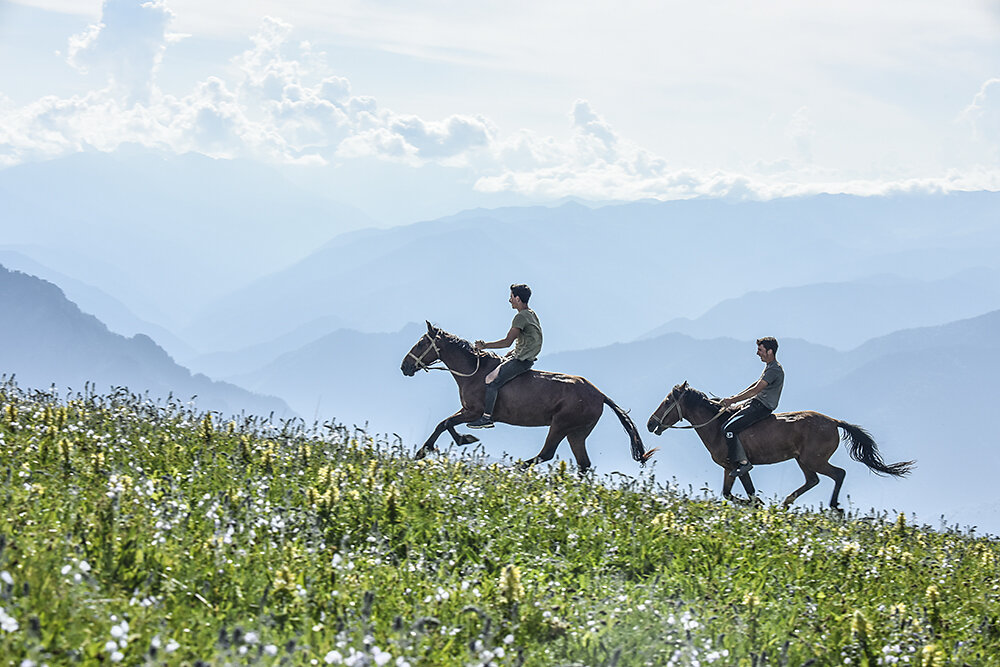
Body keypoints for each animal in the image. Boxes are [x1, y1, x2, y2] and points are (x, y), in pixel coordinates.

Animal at [398, 320, 656, 472]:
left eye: (420, 343)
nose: (405, 366)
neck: (473, 371)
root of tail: (600, 394)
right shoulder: (466, 410)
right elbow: (444, 424)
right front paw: (437, 447)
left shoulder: (474, 412)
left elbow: (446, 424)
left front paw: (440, 446)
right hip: (577, 432)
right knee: (583, 464)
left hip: (561, 425)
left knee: (546, 454)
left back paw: (515, 468)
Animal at [648, 380, 916, 506]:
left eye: (667, 402)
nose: (651, 424)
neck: (716, 427)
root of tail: (833, 422)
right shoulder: (730, 469)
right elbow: (729, 494)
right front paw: (757, 505)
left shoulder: (737, 466)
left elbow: (746, 494)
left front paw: (758, 505)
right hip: (803, 460)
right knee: (813, 480)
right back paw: (787, 503)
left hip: (814, 459)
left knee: (838, 474)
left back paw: (834, 507)